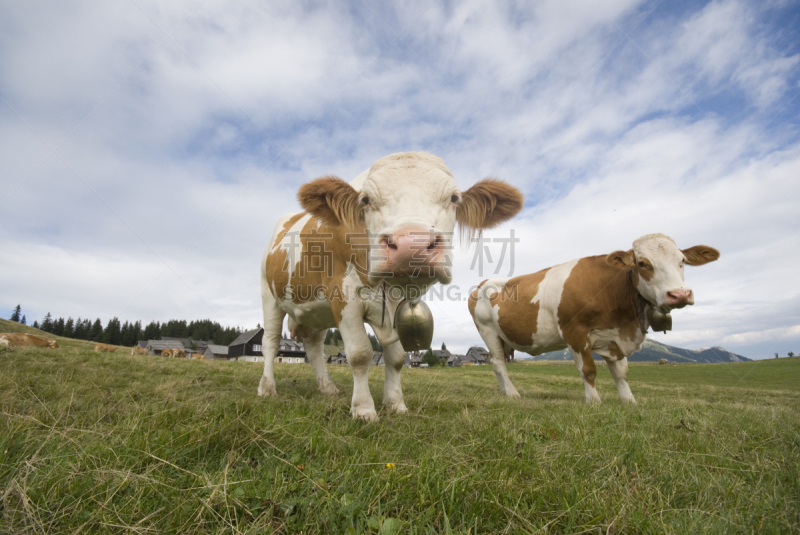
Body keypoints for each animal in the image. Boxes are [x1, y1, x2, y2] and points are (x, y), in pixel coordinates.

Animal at [260, 149, 524, 420]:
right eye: (365, 200)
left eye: (454, 198)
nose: (412, 245)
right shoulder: (344, 296)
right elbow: (360, 354)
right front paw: (364, 410)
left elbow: (396, 358)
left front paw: (396, 404)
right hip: (269, 295)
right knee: (270, 341)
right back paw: (267, 388)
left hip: (316, 313)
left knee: (314, 348)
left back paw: (328, 389)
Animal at [466, 232, 720, 404]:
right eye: (642, 263)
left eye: (682, 261)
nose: (679, 294)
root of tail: (483, 283)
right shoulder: (575, 333)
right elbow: (588, 370)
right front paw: (594, 401)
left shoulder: (616, 336)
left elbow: (621, 373)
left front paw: (629, 401)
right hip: (487, 330)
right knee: (499, 363)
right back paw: (513, 393)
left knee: (496, 362)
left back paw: (504, 391)